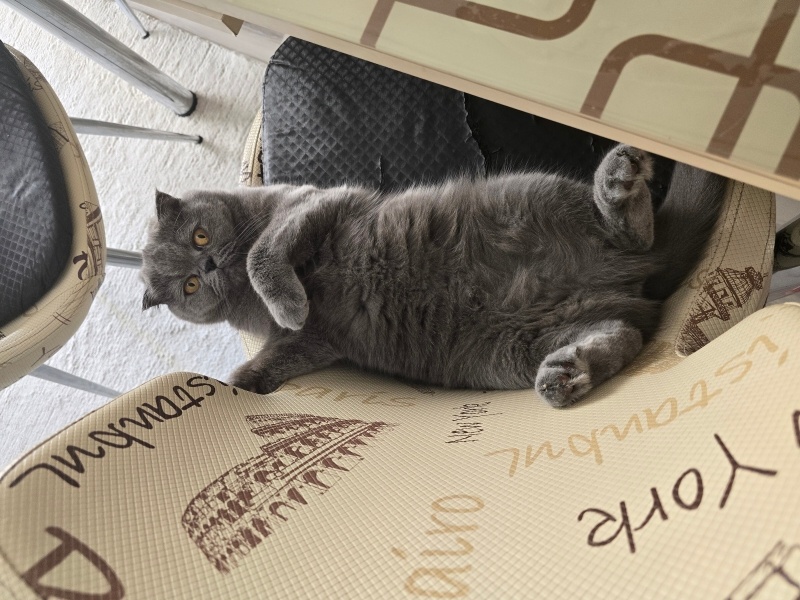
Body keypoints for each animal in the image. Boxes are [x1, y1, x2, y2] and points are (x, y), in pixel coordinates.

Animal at [141, 145, 728, 408]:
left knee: (634, 235)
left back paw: (619, 181)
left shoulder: (315, 202)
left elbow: (265, 252)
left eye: (199, 237)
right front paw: (240, 381)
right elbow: (277, 355)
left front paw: (287, 301)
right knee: (626, 333)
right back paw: (567, 375)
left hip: (532, 194)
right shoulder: (316, 342)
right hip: (515, 348)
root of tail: (628, 277)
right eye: (189, 287)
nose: (206, 267)